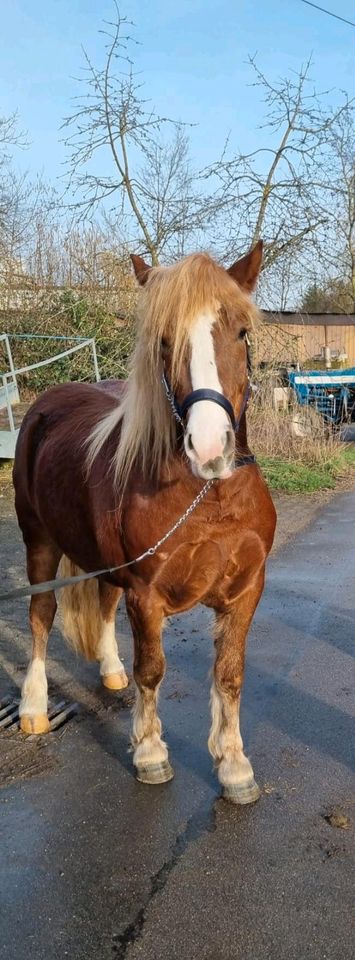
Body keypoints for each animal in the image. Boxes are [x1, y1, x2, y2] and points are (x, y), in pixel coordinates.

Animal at [12, 240, 276, 804]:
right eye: (164, 340)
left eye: (241, 333)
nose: (209, 448)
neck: (209, 497)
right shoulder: (146, 594)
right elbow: (152, 671)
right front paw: (151, 754)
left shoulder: (246, 590)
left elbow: (230, 675)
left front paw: (234, 766)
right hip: (39, 543)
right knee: (41, 615)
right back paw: (33, 707)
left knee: (102, 605)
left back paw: (110, 671)